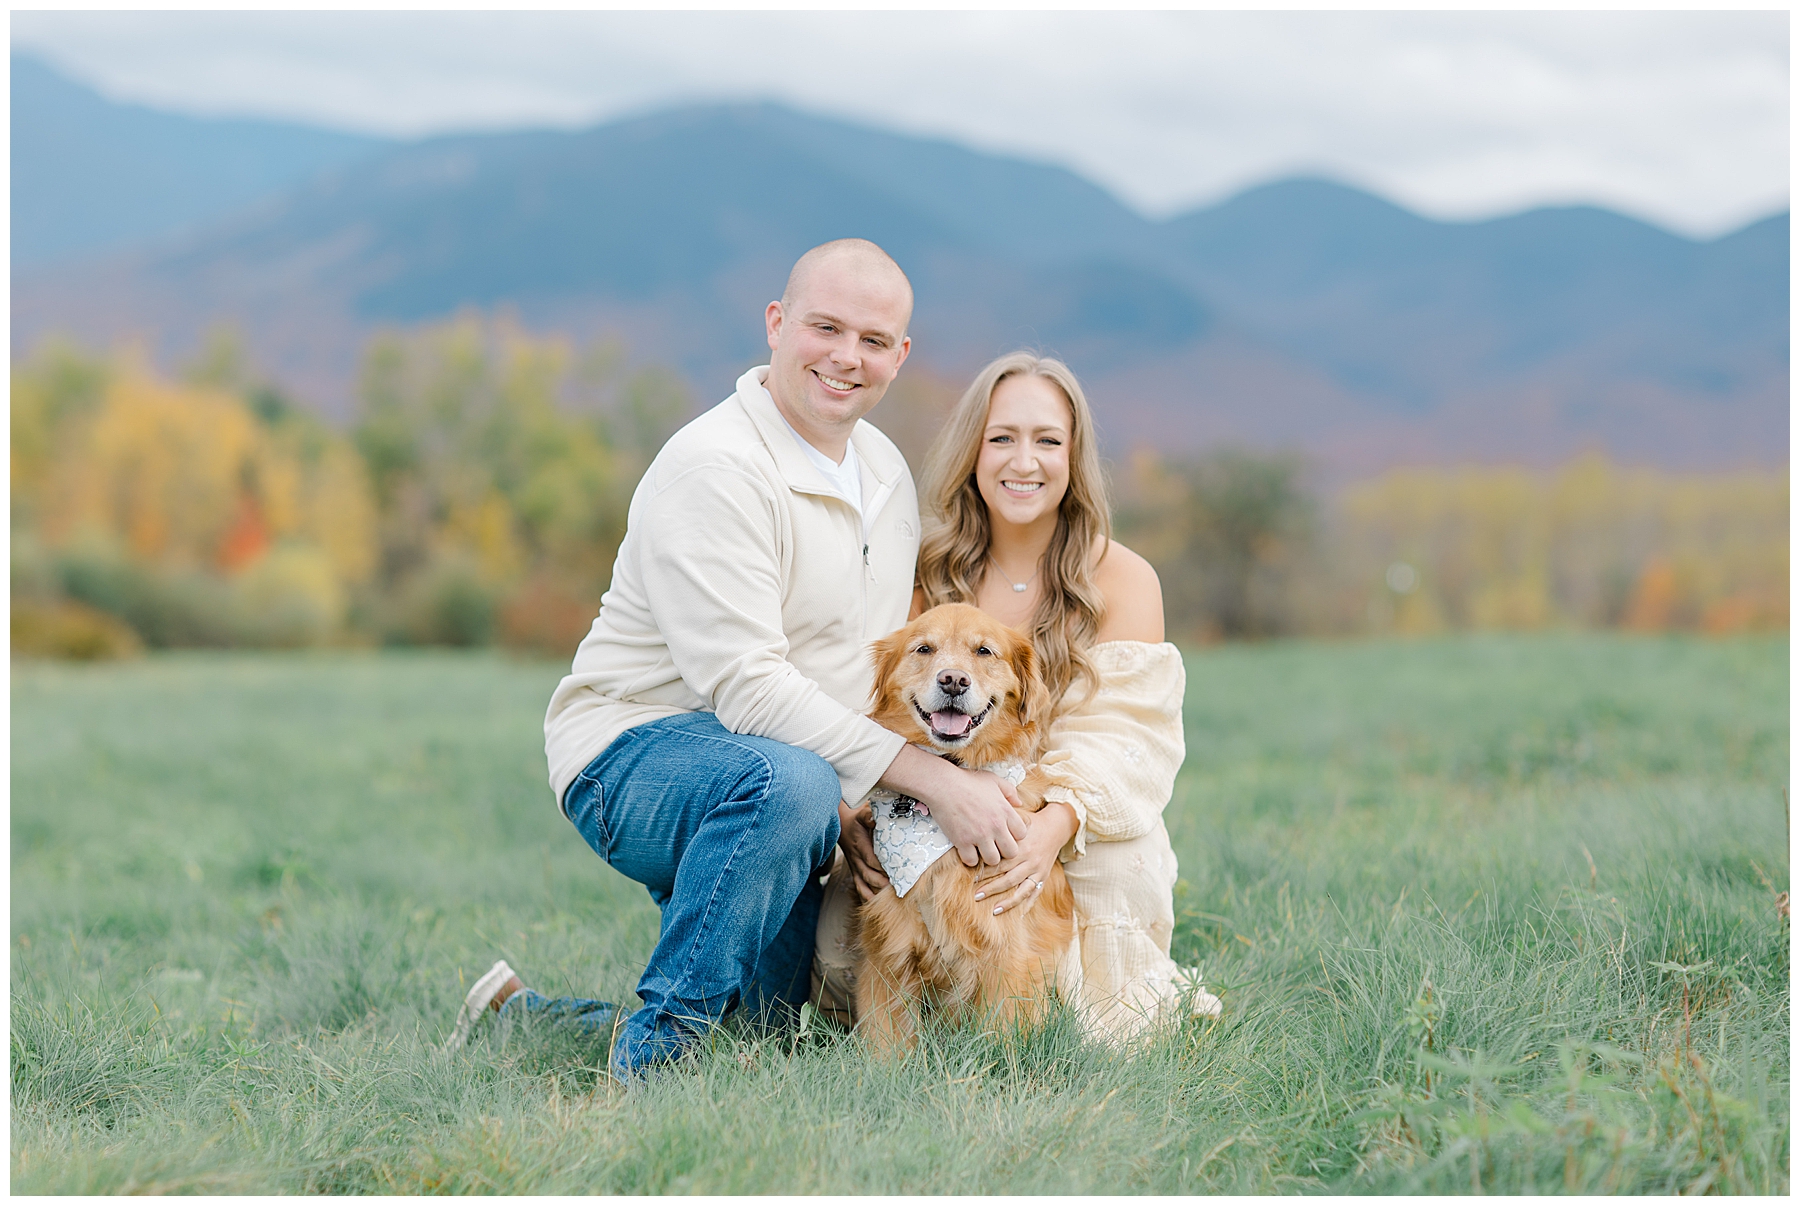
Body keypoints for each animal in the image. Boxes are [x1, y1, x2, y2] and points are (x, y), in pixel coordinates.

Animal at [853, 604, 1072, 1058]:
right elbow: (887, 1044)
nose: (953, 680)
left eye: (984, 651)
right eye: (924, 648)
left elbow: (998, 1044)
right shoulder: (887, 952)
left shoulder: (1008, 955)